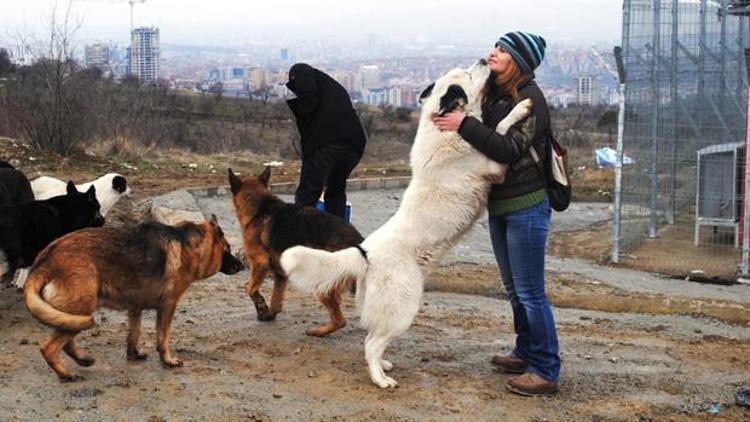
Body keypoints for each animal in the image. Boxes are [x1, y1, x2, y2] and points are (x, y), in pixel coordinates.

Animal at [22, 216, 244, 380]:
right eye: (228, 249)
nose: (242, 266)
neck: (188, 244)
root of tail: (45, 261)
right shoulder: (168, 306)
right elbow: (163, 338)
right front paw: (168, 360)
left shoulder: (135, 308)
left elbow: (134, 334)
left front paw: (134, 355)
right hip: (82, 311)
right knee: (49, 347)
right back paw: (66, 375)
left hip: (75, 315)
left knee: (66, 343)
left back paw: (82, 361)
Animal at [226, 167, 364, 336]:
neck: (261, 206)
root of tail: (358, 243)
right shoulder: (280, 273)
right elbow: (276, 300)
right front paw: (269, 314)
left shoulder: (260, 263)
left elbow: (250, 289)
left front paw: (261, 307)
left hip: (321, 282)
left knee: (340, 320)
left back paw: (318, 331)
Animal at [280, 60, 536, 390]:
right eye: (468, 75)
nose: (483, 60)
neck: (444, 127)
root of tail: (364, 252)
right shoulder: (495, 166)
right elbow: (502, 128)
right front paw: (521, 108)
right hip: (404, 306)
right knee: (371, 343)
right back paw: (380, 378)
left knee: (373, 337)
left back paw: (383, 364)